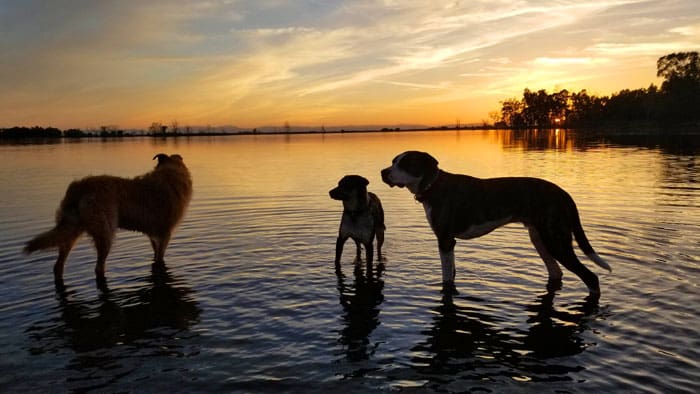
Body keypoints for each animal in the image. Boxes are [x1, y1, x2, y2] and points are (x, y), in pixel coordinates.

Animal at [24, 152, 191, 284]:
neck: (171, 172)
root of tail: (80, 187)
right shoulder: (164, 235)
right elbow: (160, 258)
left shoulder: (153, 236)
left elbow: (155, 257)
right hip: (105, 232)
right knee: (98, 267)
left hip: (69, 232)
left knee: (58, 265)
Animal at [380, 151, 608, 298]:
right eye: (393, 161)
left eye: (405, 163)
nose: (383, 172)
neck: (433, 185)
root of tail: (563, 194)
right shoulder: (450, 243)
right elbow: (451, 272)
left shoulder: (444, 240)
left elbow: (446, 279)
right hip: (540, 238)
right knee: (556, 272)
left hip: (556, 241)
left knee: (591, 278)